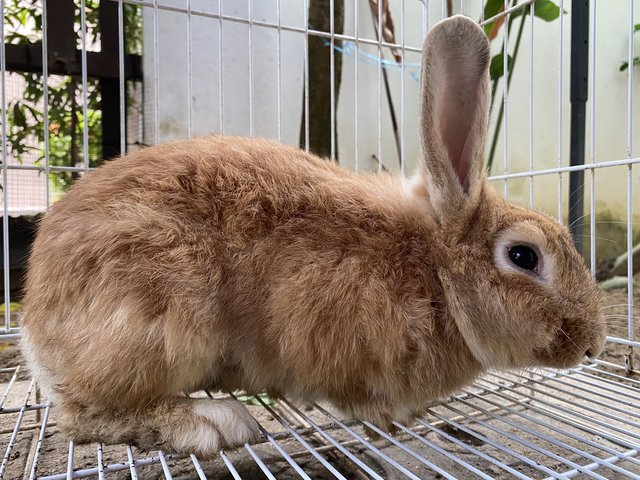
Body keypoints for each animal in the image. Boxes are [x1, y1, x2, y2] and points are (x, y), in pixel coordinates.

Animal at [20, 15, 604, 458]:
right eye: (523, 256)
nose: (593, 345)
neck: (434, 271)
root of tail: (34, 321)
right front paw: (389, 418)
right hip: (162, 312)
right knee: (84, 413)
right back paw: (211, 421)